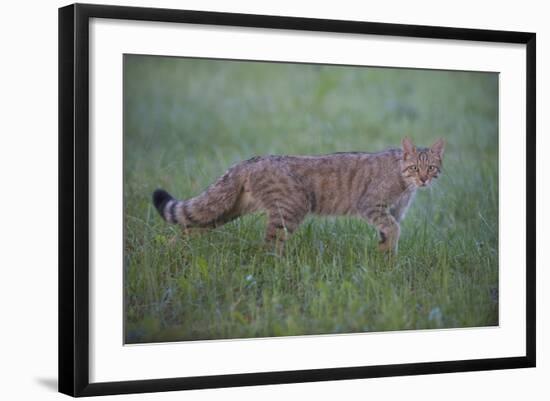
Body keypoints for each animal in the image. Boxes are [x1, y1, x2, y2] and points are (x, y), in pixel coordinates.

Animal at [153, 136, 446, 252]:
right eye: (415, 167)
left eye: (431, 168)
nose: (423, 179)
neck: (404, 183)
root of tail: (249, 161)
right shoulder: (372, 206)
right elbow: (393, 229)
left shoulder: (392, 212)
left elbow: (386, 236)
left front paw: (385, 262)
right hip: (290, 210)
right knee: (269, 247)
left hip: (226, 209)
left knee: (190, 225)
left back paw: (169, 251)